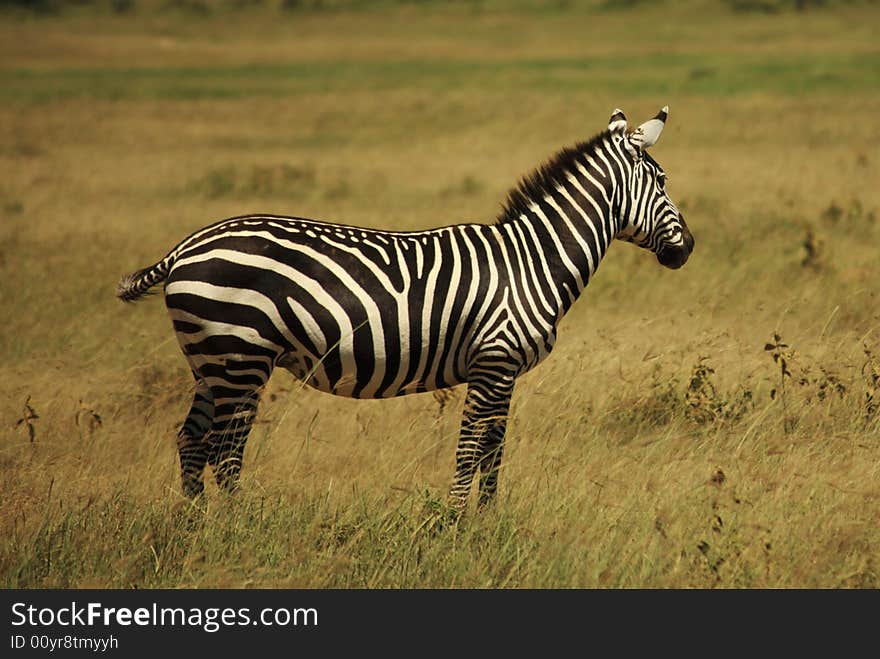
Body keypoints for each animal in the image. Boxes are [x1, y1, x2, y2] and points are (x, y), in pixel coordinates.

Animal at [117, 107, 696, 510]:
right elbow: (472, 449)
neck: (534, 258)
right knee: (225, 452)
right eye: (663, 181)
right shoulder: (493, 362)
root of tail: (184, 249)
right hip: (241, 357)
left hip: (210, 362)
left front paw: (488, 521)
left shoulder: (505, 372)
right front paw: (458, 523)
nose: (688, 248)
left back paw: (199, 526)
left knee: (192, 442)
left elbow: (494, 453)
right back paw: (239, 526)